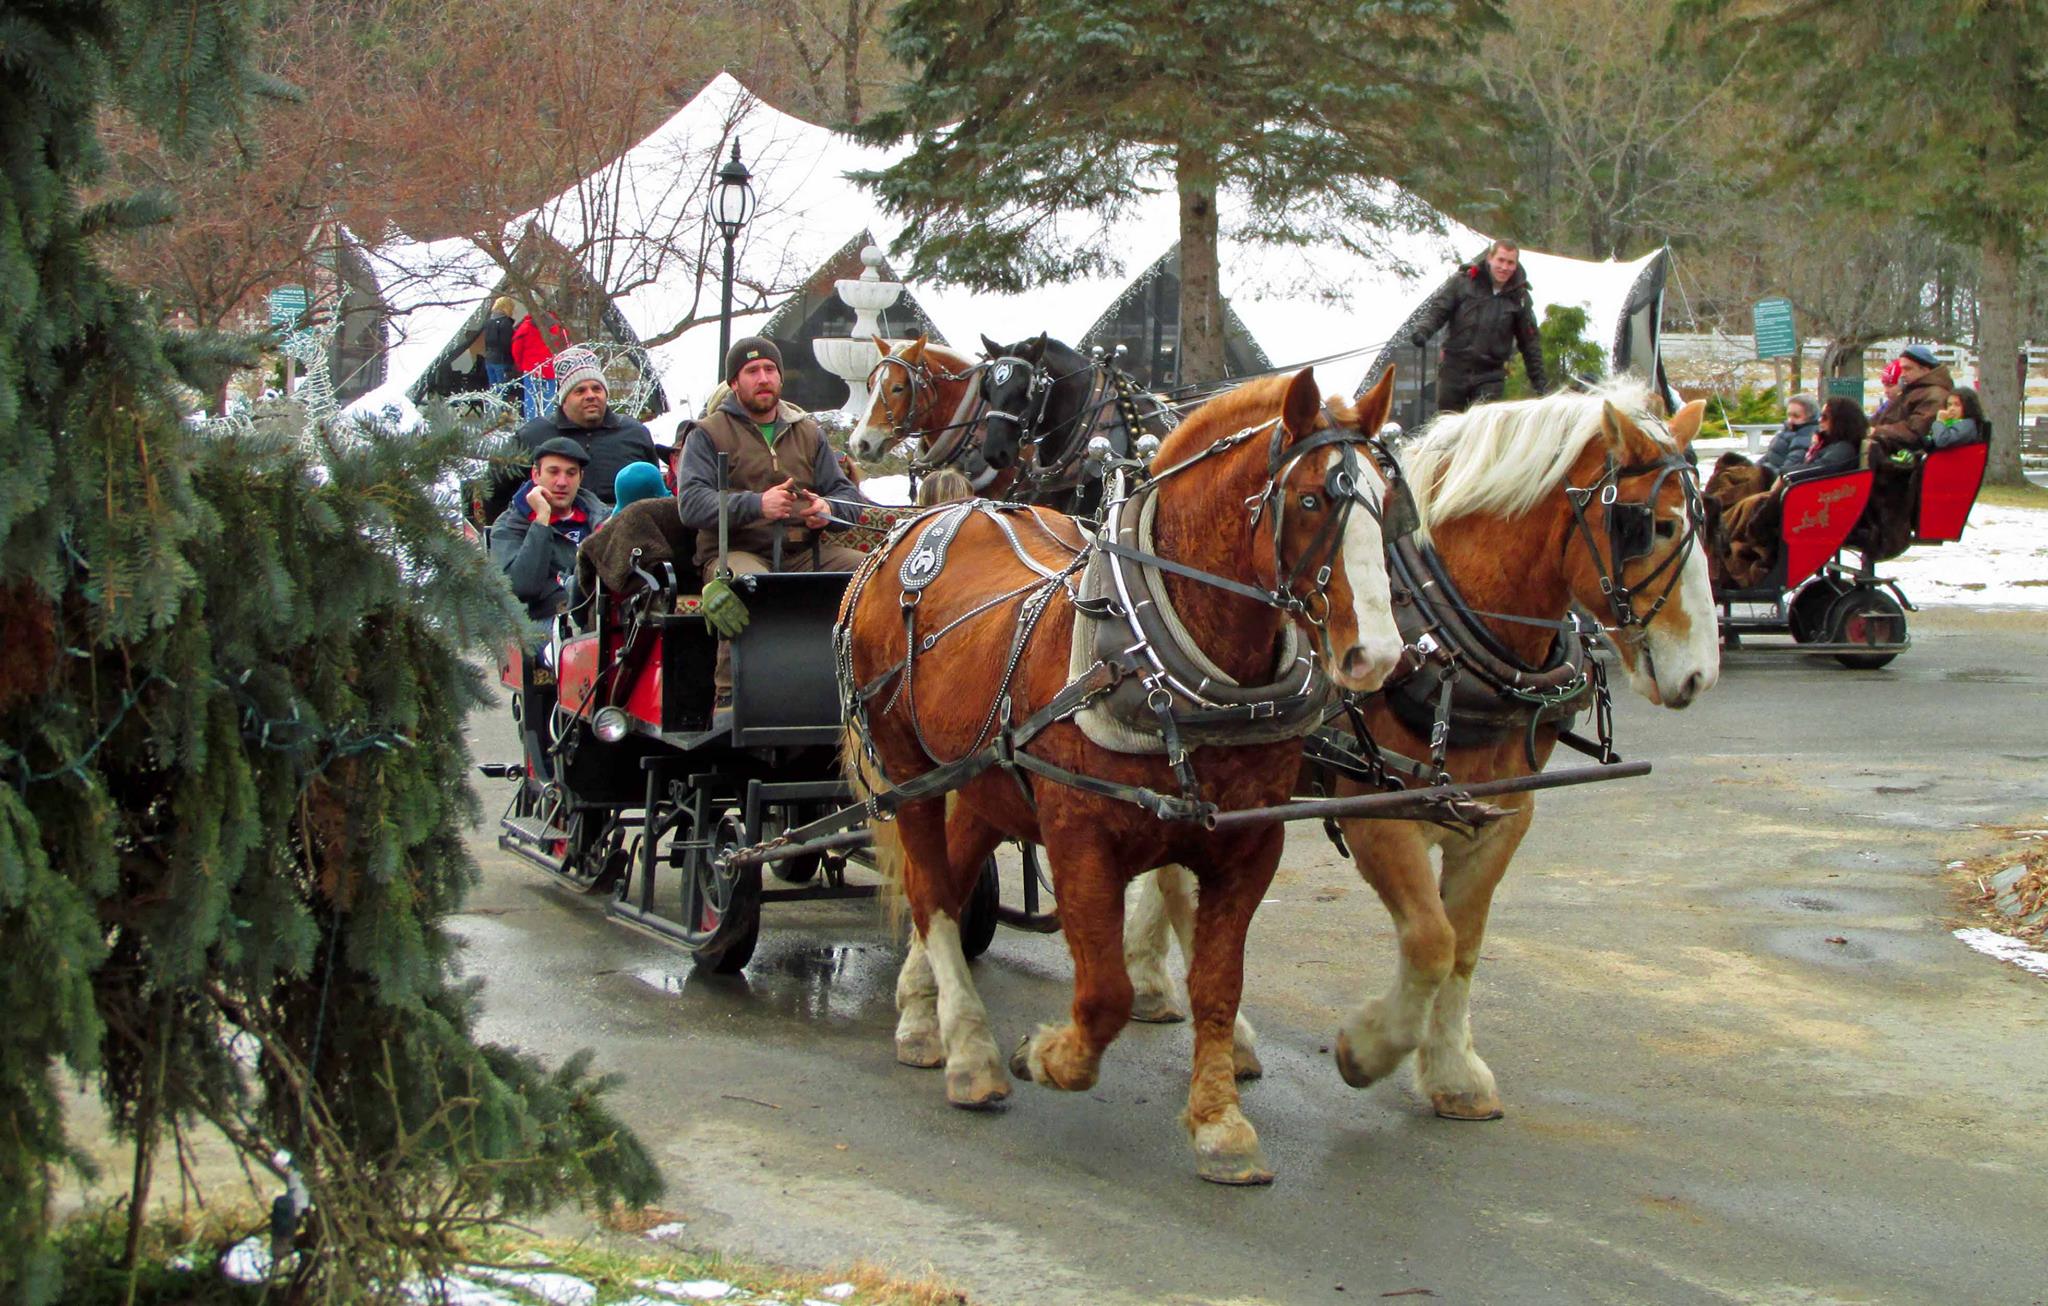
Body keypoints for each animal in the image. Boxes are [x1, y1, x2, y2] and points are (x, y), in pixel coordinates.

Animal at [835, 366, 1409, 1187]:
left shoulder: (1249, 846)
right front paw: (1047, 1054)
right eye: (1308, 501)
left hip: (984, 772)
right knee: (930, 892)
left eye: (1386, 504)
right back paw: (969, 1050)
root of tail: (921, 525)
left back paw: (919, 1010)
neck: (1155, 653)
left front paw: (1220, 1124)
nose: (1379, 655)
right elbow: (1104, 992)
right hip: (907, 769)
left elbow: (1217, 985)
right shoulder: (1079, 835)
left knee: (948, 870)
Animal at [1130, 384, 1720, 1121]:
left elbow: (1464, 943)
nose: (1699, 674)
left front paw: (1452, 1071)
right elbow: (1431, 941)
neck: (1444, 631)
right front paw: (1368, 1048)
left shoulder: (1504, 813)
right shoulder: (1378, 815)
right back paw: (1226, 1030)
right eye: (1657, 527)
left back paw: (1152, 982)